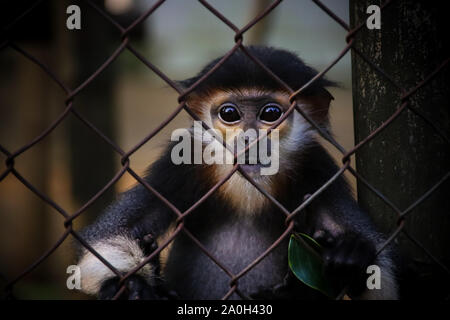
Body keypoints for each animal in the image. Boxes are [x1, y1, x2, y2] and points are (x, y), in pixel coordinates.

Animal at [76, 45, 398, 300]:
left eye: (271, 114)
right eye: (229, 114)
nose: (249, 138)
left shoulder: (317, 167)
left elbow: (383, 279)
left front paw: (351, 256)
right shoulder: (182, 161)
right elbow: (106, 239)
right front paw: (134, 289)